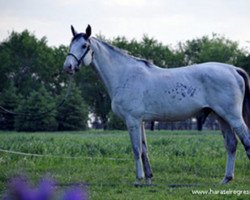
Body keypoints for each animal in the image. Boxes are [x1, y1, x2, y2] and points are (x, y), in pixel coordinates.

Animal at [63, 25, 250, 186]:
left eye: (84, 45)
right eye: (71, 44)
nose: (68, 67)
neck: (125, 75)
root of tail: (234, 70)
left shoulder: (132, 120)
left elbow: (136, 149)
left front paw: (138, 179)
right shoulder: (140, 121)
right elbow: (144, 150)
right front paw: (148, 179)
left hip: (232, 116)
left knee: (245, 140)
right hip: (221, 117)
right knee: (231, 144)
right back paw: (226, 179)